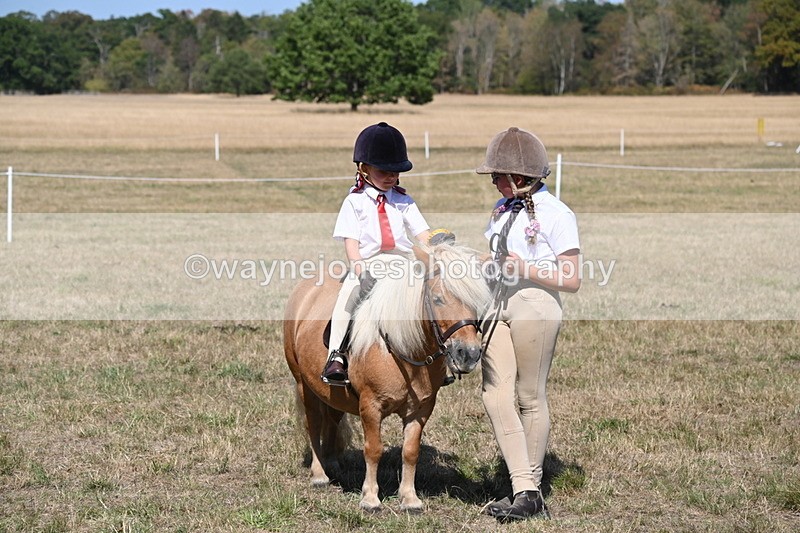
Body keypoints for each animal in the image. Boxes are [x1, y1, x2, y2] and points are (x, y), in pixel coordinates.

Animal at [283, 244, 491, 512]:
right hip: (303, 384)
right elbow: (373, 449)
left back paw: (333, 464)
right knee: (314, 423)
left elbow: (410, 451)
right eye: (437, 299)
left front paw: (410, 499)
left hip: (332, 392)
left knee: (332, 418)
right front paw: (370, 498)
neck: (403, 351)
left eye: (476, 303)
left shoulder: (421, 409)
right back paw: (319, 474)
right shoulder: (370, 406)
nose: (469, 354)